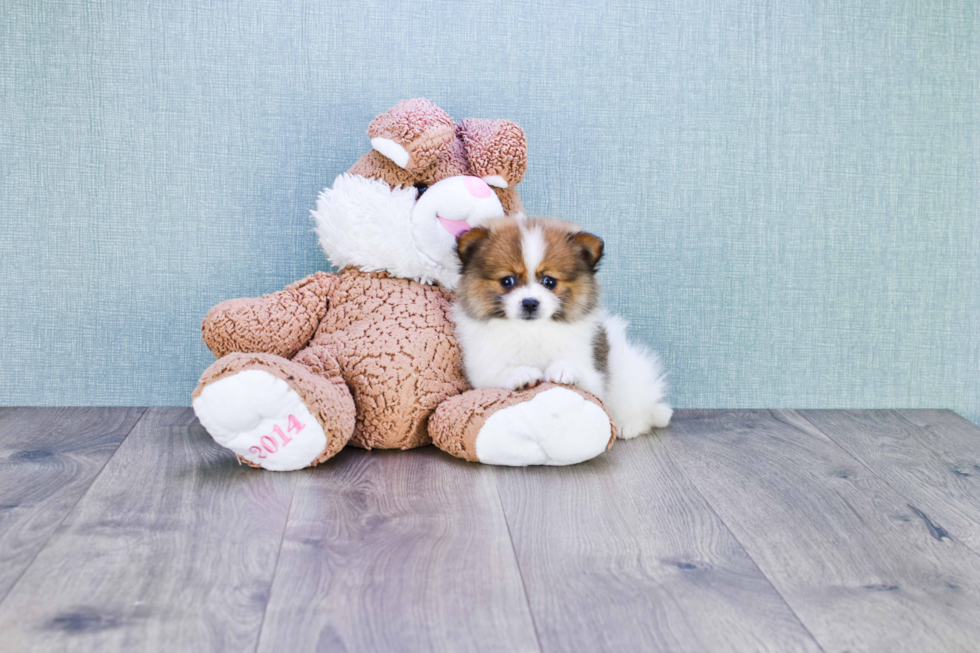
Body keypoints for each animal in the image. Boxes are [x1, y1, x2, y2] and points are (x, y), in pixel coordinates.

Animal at [454, 215, 668, 438]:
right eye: (507, 281)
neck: (532, 331)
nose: (530, 302)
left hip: (629, 375)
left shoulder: (592, 372)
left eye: (550, 281)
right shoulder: (483, 368)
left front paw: (564, 370)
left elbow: (577, 369)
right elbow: (498, 373)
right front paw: (521, 374)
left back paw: (629, 425)